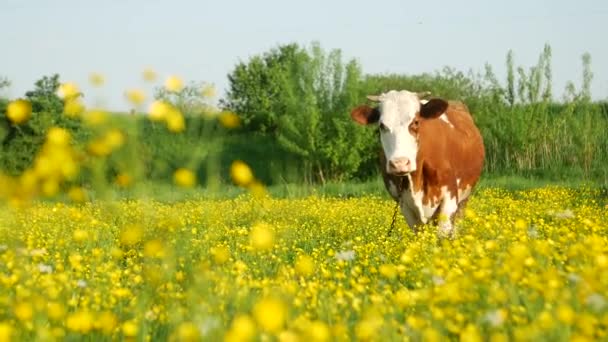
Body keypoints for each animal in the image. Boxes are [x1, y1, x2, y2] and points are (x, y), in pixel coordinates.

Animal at [352, 89, 484, 236]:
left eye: (415, 122)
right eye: (382, 125)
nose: (399, 163)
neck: (415, 181)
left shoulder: (449, 197)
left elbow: (443, 235)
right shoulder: (404, 204)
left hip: (464, 199)